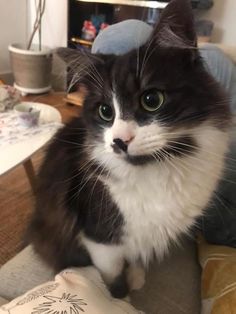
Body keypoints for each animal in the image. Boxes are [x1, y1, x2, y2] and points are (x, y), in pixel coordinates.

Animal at [27, 0, 230, 298]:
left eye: (151, 100)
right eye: (105, 112)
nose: (119, 141)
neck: (159, 169)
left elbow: (135, 255)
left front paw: (135, 276)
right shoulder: (100, 238)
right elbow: (112, 274)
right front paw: (119, 297)